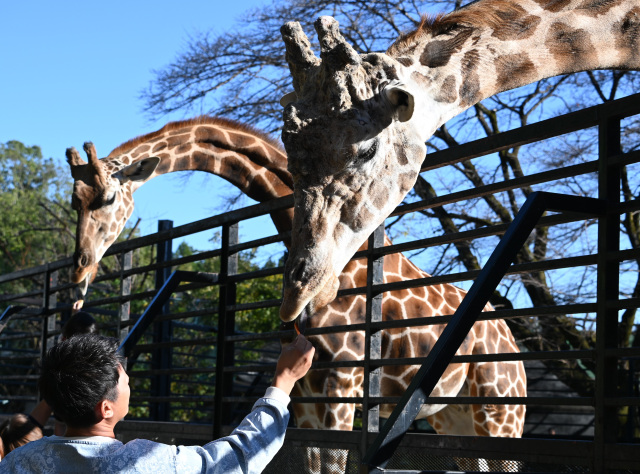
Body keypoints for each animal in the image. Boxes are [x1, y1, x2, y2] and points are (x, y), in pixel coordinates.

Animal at [65, 116, 524, 472]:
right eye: (75, 201)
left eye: (108, 196)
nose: (80, 269)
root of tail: (511, 338)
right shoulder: (306, 394)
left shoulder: (343, 381)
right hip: (454, 417)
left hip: (502, 412)